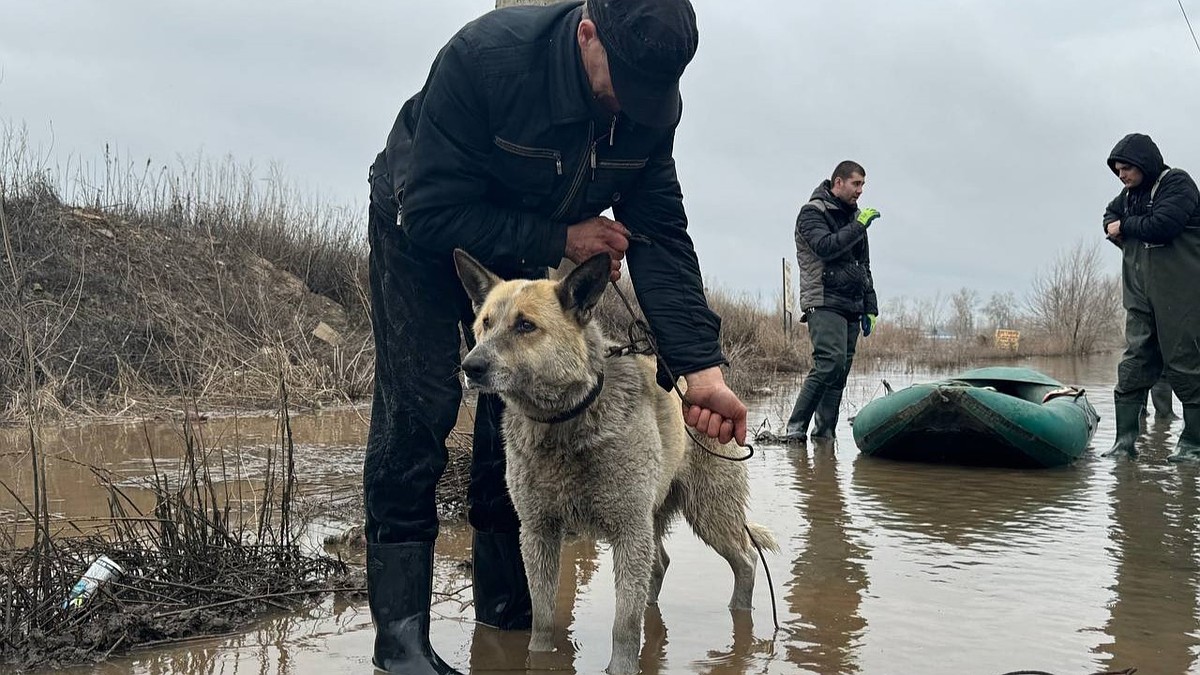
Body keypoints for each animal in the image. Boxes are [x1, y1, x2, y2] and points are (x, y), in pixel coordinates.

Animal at [451, 248, 777, 672]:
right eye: (485, 323)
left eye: (525, 325)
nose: (470, 367)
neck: (565, 421)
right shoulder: (538, 531)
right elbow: (543, 619)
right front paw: (538, 657)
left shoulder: (627, 530)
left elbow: (623, 625)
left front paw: (621, 667)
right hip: (657, 516)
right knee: (659, 567)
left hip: (709, 511)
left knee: (745, 560)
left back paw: (740, 618)